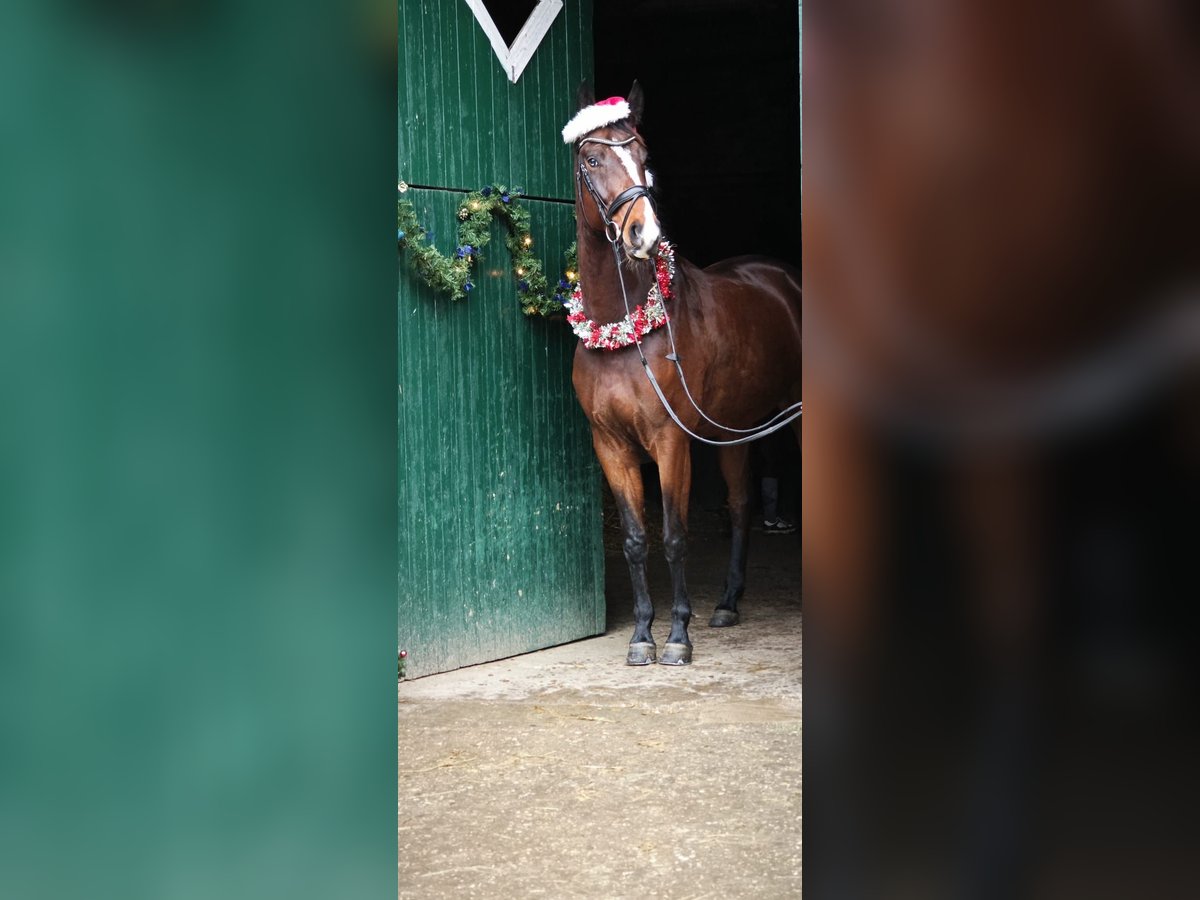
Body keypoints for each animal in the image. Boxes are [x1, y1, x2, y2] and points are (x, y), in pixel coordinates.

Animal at [559, 81, 801, 667]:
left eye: (644, 154)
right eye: (593, 159)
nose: (643, 233)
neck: (622, 330)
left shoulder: (670, 442)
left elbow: (673, 535)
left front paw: (677, 636)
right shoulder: (611, 446)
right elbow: (635, 540)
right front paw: (642, 634)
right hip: (736, 429)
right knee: (740, 507)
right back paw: (729, 603)